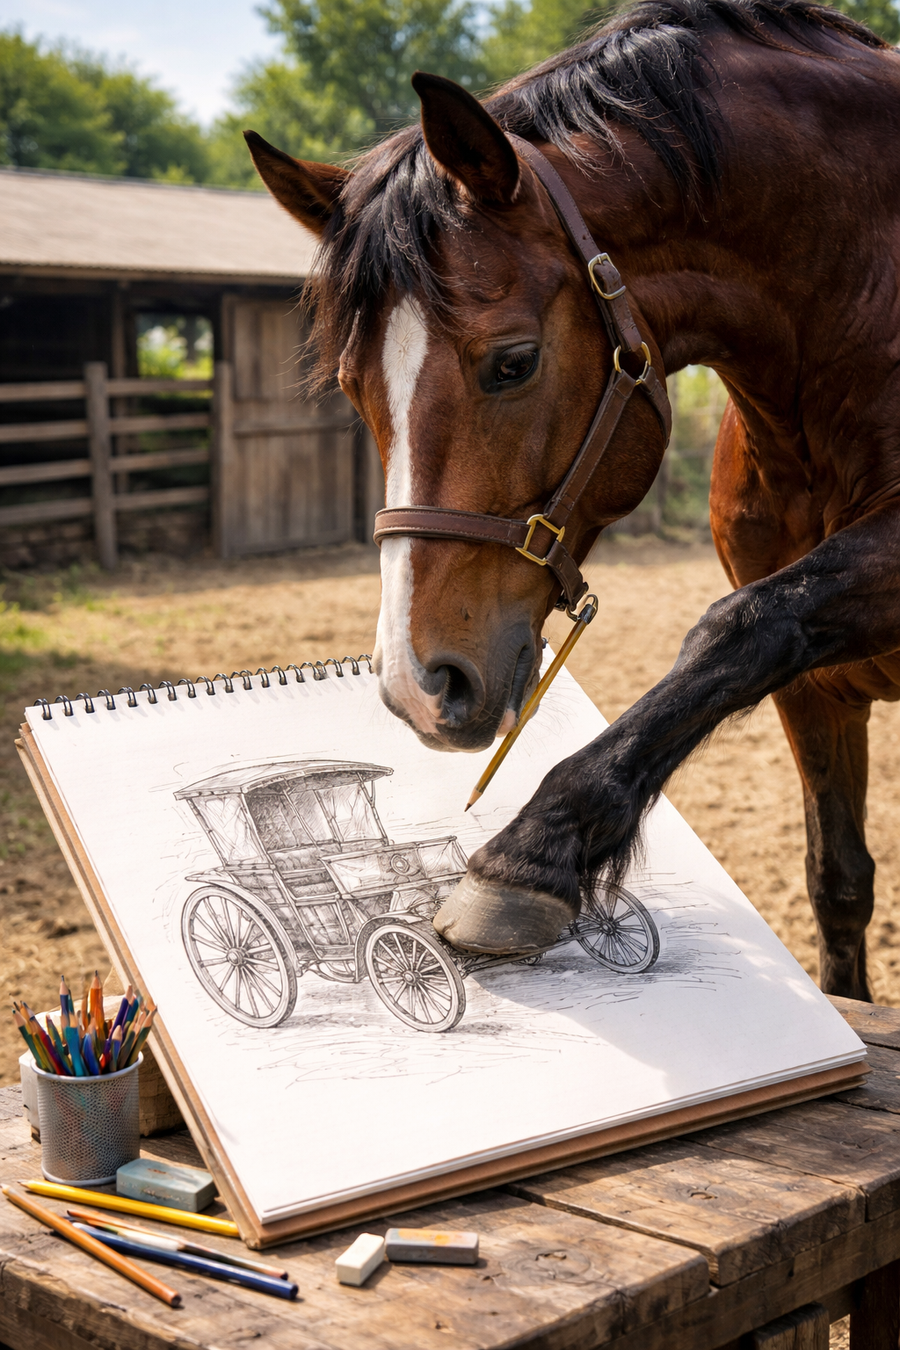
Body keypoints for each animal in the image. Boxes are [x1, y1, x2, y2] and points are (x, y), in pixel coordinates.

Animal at [245, 0, 900, 1002]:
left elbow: (743, 625)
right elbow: (838, 880)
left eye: (512, 362)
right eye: (354, 387)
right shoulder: (818, 687)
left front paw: (528, 857)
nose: (418, 684)